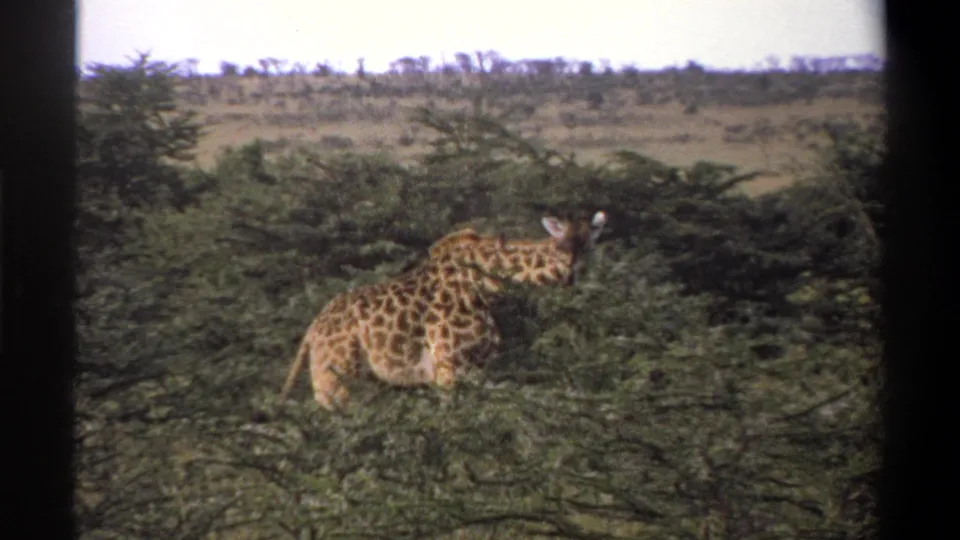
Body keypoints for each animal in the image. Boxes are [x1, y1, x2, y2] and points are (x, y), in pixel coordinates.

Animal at [278, 211, 608, 411]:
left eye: (590, 246)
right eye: (560, 245)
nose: (570, 273)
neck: (488, 281)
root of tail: (313, 331)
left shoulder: (482, 368)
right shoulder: (450, 367)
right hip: (335, 382)